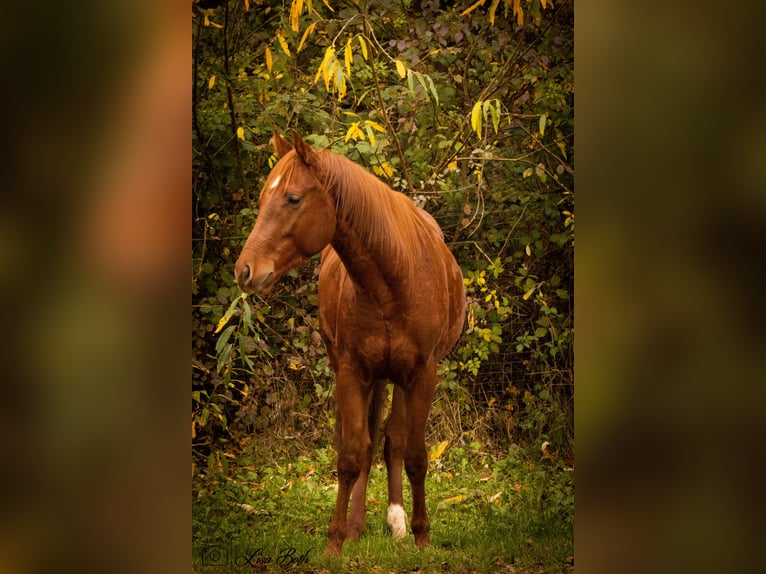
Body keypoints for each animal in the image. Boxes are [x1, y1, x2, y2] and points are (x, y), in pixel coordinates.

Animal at [234, 132, 464, 560]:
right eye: (261, 198)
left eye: (293, 198)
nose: (245, 270)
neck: (393, 280)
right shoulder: (352, 372)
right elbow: (351, 455)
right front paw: (336, 540)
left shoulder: (423, 374)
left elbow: (415, 455)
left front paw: (422, 536)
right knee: (372, 443)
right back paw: (360, 526)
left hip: (400, 378)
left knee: (394, 441)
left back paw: (397, 521)